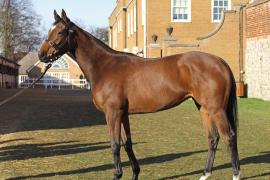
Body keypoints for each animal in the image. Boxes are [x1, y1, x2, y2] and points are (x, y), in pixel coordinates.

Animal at [38, 10, 240, 180]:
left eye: (61, 32)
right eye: (50, 30)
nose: (41, 55)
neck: (105, 66)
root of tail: (219, 61)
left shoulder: (112, 113)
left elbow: (115, 144)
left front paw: (117, 175)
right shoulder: (123, 114)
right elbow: (127, 143)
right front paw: (135, 173)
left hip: (216, 109)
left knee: (229, 136)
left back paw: (236, 174)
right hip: (203, 107)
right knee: (213, 138)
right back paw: (205, 174)